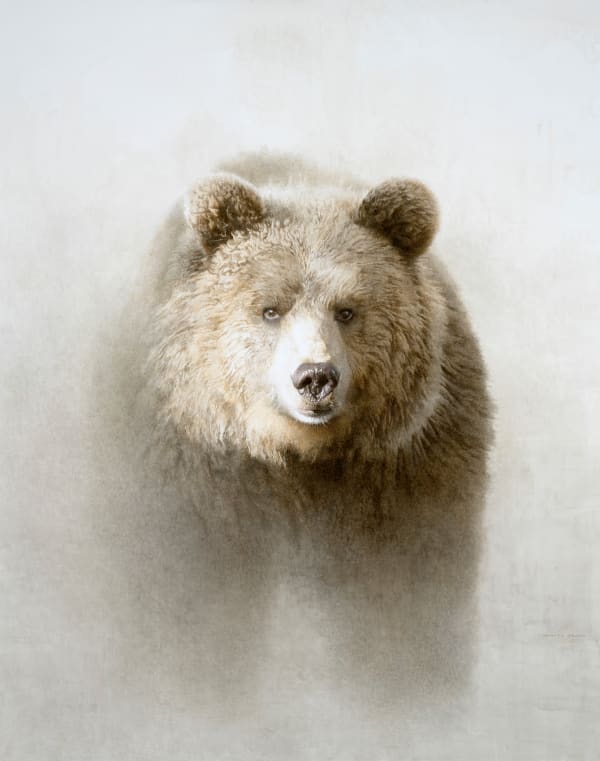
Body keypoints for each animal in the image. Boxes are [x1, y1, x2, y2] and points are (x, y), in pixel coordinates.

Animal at [127, 152, 493, 700]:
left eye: (348, 310)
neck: (305, 456)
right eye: (269, 309)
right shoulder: (201, 477)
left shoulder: (412, 475)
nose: (315, 377)